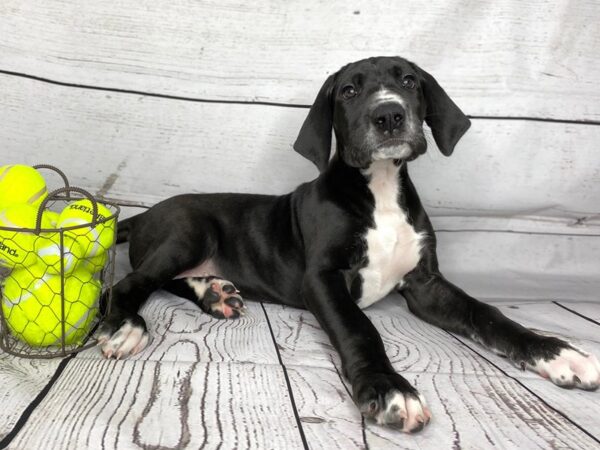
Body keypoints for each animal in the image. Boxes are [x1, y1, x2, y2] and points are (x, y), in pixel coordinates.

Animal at [98, 56, 600, 432]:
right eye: (349, 92)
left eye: (409, 81)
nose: (389, 115)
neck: (379, 188)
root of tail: (146, 213)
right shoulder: (322, 278)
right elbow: (359, 327)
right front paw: (390, 387)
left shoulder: (426, 283)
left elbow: (487, 313)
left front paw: (554, 352)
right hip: (189, 230)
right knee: (129, 284)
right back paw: (128, 327)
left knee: (165, 280)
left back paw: (214, 293)